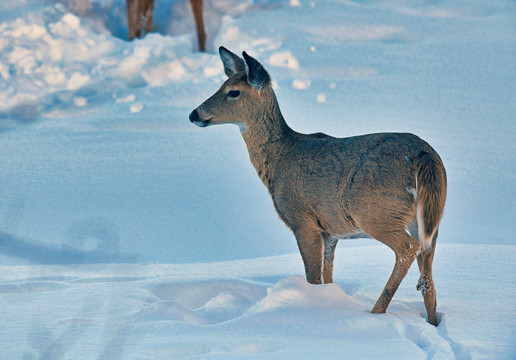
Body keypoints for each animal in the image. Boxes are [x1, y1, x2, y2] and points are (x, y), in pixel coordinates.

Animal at [189, 46, 448, 324]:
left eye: (233, 92)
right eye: (221, 85)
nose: (194, 114)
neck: (280, 159)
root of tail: (423, 154)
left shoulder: (302, 220)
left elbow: (312, 278)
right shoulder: (330, 231)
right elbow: (328, 276)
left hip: (374, 210)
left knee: (408, 248)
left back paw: (376, 312)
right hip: (430, 217)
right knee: (428, 271)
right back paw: (432, 322)